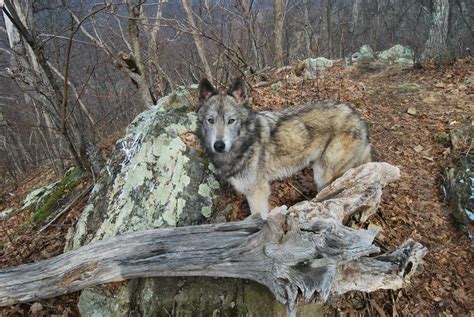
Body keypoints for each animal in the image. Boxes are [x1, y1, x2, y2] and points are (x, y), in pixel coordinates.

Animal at [195, 78, 370, 218]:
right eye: (210, 120)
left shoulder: (258, 192)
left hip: (322, 174)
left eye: (231, 121)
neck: (245, 144)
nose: (219, 145)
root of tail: (358, 118)